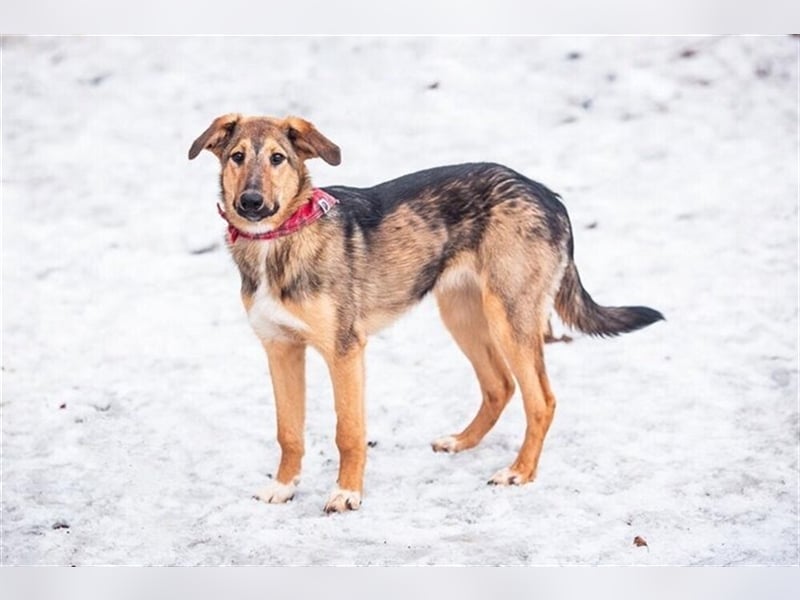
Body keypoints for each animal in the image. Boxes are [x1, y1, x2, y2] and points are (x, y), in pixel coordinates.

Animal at [188, 115, 664, 512]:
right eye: (237, 157)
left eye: (278, 158)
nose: (251, 202)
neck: (279, 241)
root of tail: (548, 194)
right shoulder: (280, 348)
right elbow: (288, 430)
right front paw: (284, 486)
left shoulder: (345, 351)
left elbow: (348, 432)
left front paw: (346, 494)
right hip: (461, 312)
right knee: (499, 385)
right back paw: (462, 441)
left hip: (509, 317)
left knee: (541, 400)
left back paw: (519, 472)